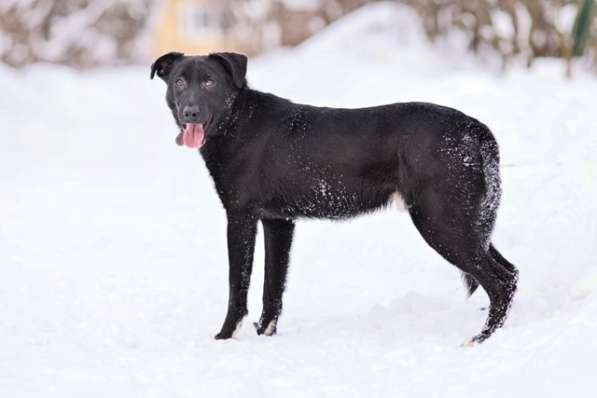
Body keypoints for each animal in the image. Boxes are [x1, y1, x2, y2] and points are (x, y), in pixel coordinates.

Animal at [150, 51, 516, 344]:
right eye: (179, 82)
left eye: (209, 82)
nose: (189, 112)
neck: (237, 123)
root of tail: (473, 128)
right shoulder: (278, 221)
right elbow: (272, 288)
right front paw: (265, 335)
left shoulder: (240, 218)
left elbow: (236, 285)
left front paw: (225, 337)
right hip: (465, 221)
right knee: (509, 273)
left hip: (440, 223)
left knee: (500, 282)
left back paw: (481, 339)